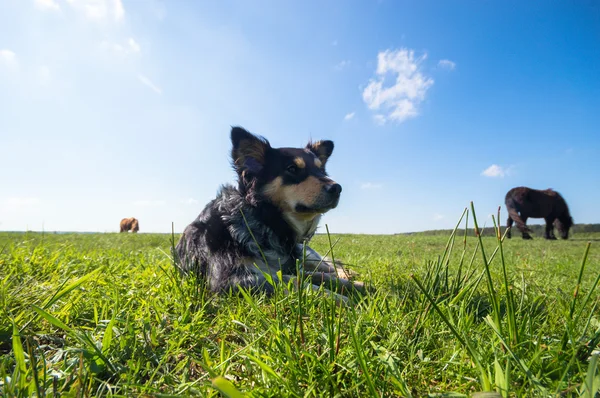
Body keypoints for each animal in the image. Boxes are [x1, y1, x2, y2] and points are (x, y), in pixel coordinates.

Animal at [175, 126, 366, 304]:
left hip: (306, 253)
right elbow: (295, 280)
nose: (337, 188)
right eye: (292, 169)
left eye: (322, 171)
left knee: (331, 264)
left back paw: (348, 274)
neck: (263, 220)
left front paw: (355, 286)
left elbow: (316, 275)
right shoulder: (230, 279)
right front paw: (341, 298)